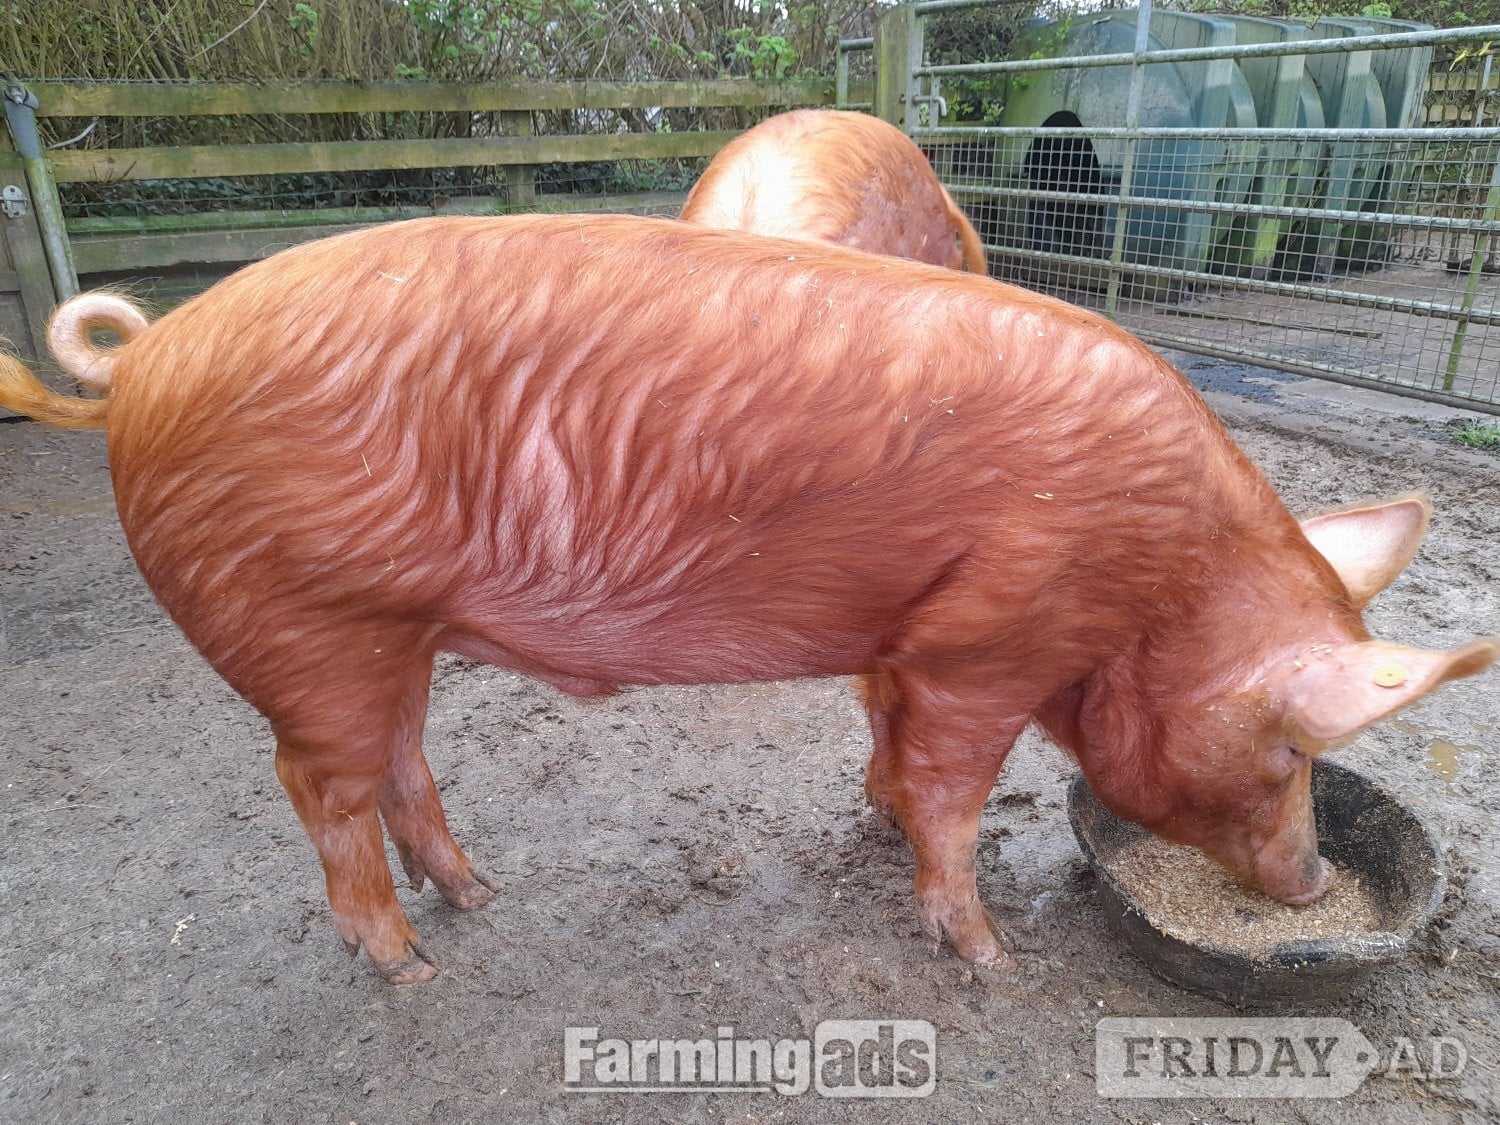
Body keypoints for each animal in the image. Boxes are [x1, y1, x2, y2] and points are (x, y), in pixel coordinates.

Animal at [1, 214, 1492, 985]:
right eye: (1293, 751)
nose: (1311, 882)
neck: (1154, 583)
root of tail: (145, 362)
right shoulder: (992, 643)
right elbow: (957, 793)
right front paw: (985, 955)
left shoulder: (910, 637)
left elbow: (890, 741)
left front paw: (876, 821)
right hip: (304, 623)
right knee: (319, 790)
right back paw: (410, 960)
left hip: (389, 635)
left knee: (400, 764)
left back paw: (477, 897)